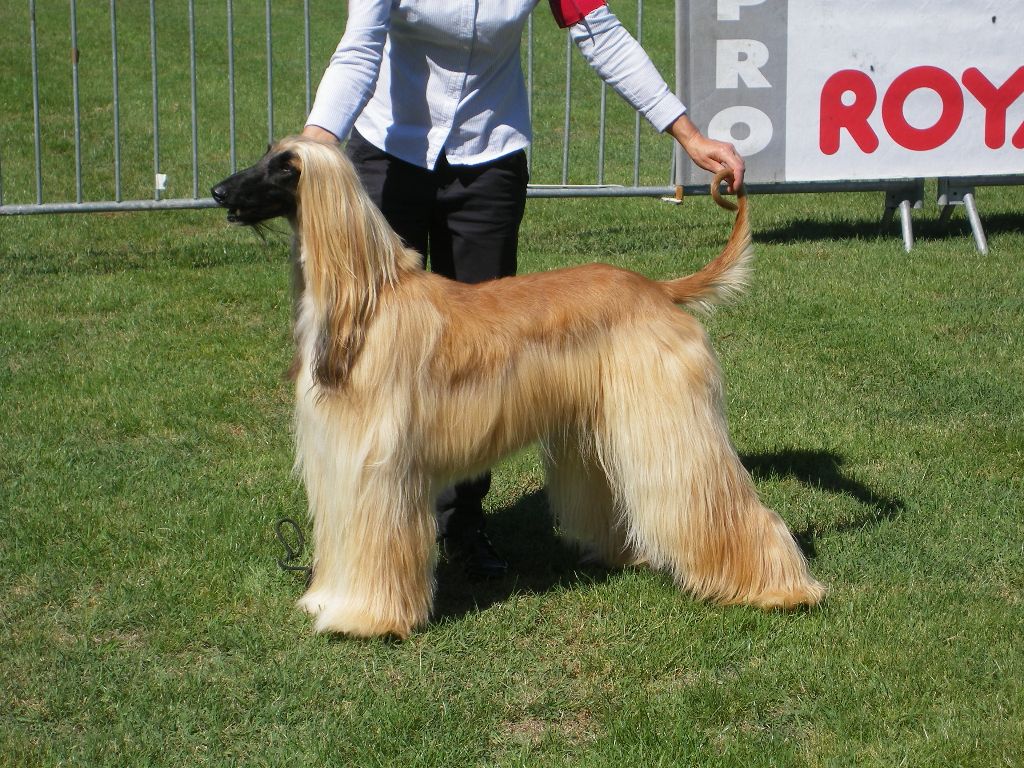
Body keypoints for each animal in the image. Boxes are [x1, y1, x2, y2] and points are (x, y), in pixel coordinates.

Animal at [211, 137, 827, 638]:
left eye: (285, 168)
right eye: (265, 155)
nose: (219, 191)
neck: (367, 304)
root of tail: (657, 288)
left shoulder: (376, 464)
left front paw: (362, 618)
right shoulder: (338, 459)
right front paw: (325, 601)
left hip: (669, 418)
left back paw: (781, 589)